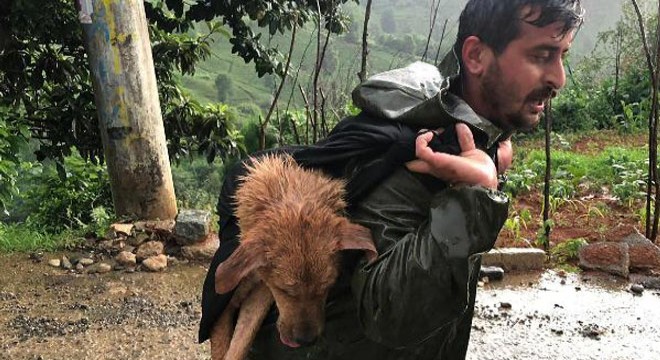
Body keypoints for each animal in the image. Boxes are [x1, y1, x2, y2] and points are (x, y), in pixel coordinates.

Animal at [210, 154, 376, 360]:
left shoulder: (259, 295)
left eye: (327, 287)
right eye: (285, 291)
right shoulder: (221, 309)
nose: (306, 342)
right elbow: (222, 348)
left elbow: (241, 344)